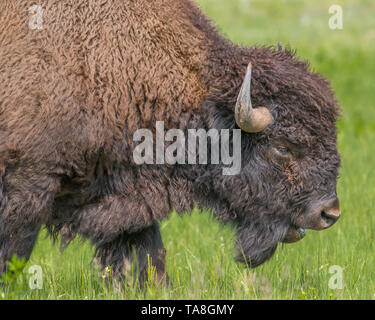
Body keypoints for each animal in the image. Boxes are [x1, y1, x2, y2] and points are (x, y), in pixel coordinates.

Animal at [0, 0, 340, 284]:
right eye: (282, 148)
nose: (330, 213)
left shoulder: (126, 200)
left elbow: (146, 254)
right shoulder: (28, 184)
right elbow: (14, 250)